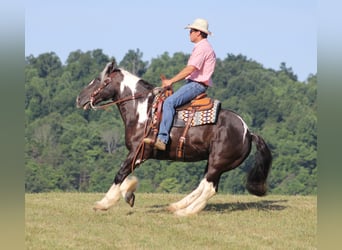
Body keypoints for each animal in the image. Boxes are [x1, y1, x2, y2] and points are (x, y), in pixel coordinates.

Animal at [76, 61, 272, 216]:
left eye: (100, 80)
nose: (79, 98)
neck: (143, 112)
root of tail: (248, 132)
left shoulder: (139, 152)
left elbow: (120, 174)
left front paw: (104, 203)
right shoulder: (138, 154)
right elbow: (125, 176)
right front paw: (129, 194)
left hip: (218, 162)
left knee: (208, 188)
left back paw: (185, 212)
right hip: (214, 163)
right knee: (205, 186)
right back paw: (176, 206)